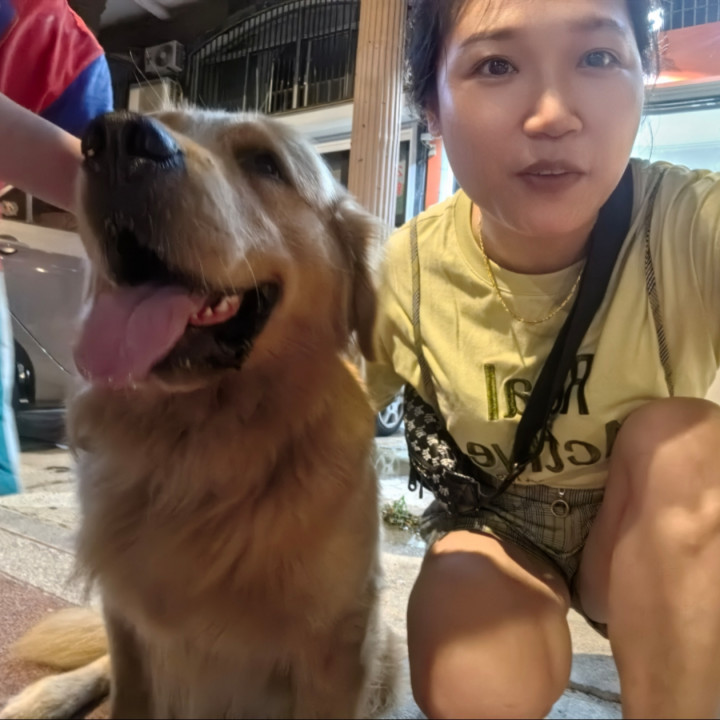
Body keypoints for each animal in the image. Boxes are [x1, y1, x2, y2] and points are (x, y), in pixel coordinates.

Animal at [0, 108, 402, 719]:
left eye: (265, 163)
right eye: (164, 121)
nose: (116, 138)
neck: (199, 447)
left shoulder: (340, 645)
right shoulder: (127, 623)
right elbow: (127, 689)